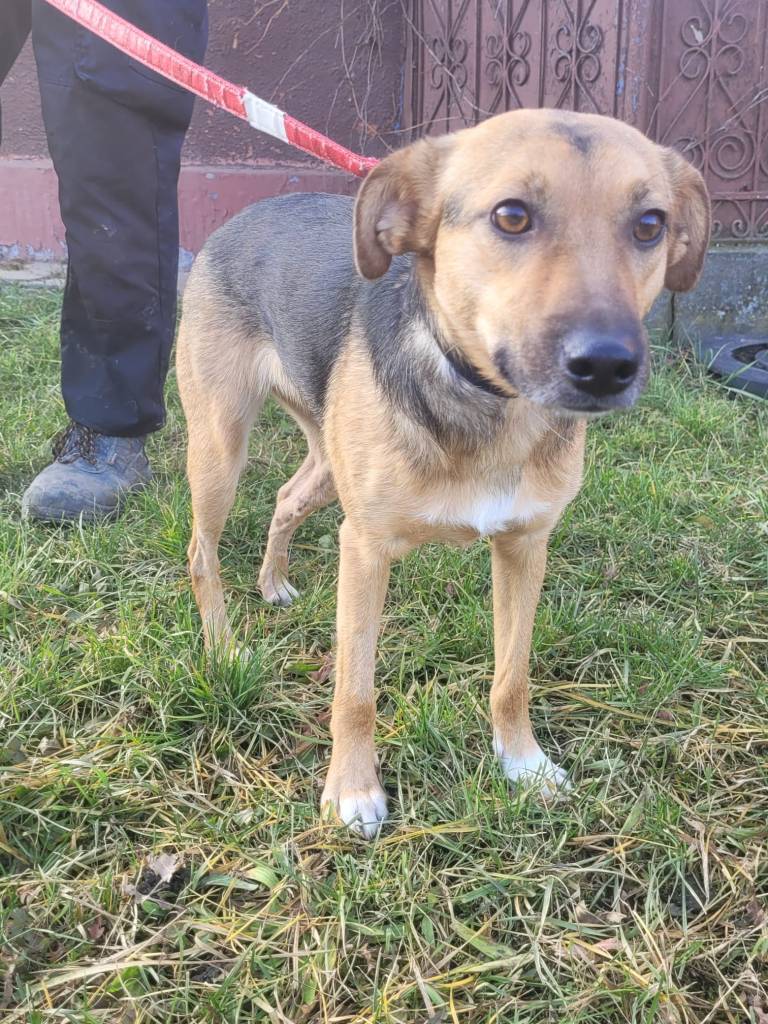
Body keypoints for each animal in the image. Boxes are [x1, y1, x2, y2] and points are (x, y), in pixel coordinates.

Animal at [176, 108, 710, 837]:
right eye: (512, 215)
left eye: (650, 224)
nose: (606, 366)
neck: (491, 407)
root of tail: (242, 216)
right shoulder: (365, 549)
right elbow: (355, 693)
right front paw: (353, 790)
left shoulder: (525, 545)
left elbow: (513, 676)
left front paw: (522, 762)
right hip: (219, 448)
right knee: (201, 552)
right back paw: (223, 648)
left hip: (324, 467)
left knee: (285, 497)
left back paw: (273, 581)